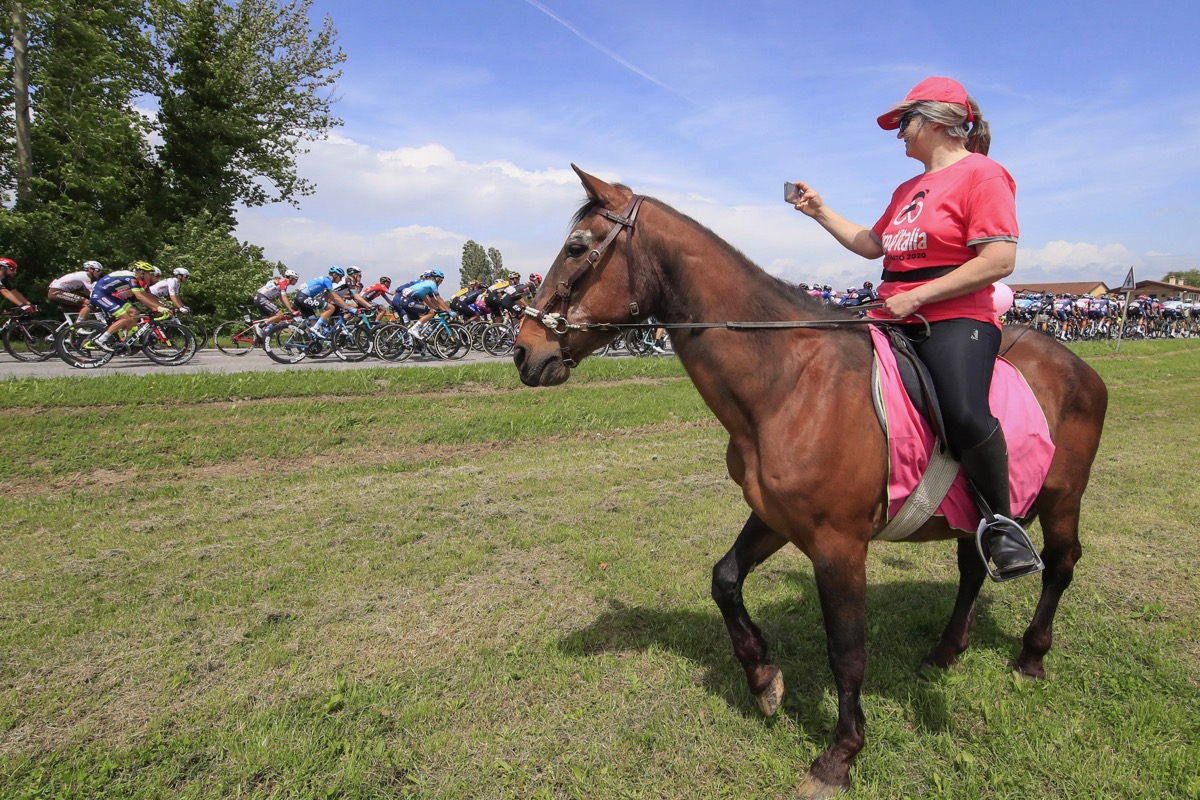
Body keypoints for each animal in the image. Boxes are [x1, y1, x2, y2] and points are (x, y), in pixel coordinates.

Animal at [511, 165, 1108, 796]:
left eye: (577, 248)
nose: (524, 351)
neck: (791, 379)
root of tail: (1078, 365)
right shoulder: (776, 517)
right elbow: (725, 580)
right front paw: (763, 679)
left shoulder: (837, 545)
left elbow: (846, 650)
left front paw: (840, 755)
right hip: (980, 509)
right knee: (974, 565)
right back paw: (945, 653)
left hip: (1062, 499)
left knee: (1060, 564)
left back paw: (1031, 657)